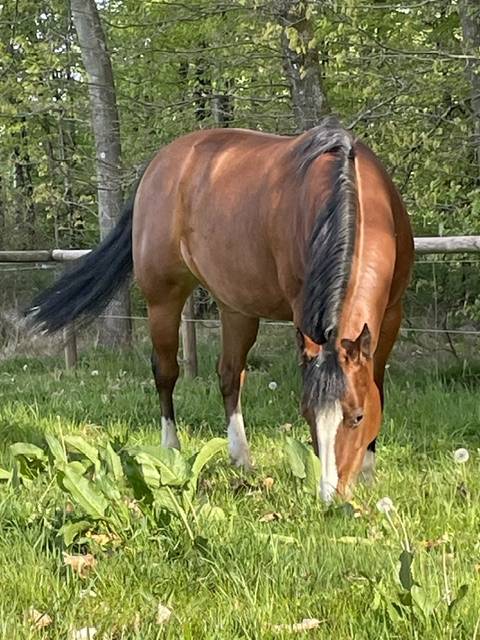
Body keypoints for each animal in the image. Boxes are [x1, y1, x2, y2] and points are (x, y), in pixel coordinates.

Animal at [26, 116, 414, 502]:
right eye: (307, 414)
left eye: (358, 416)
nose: (330, 497)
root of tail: (159, 164)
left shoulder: (390, 315)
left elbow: (377, 383)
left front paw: (369, 472)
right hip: (163, 299)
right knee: (165, 372)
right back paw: (171, 449)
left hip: (235, 306)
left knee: (229, 374)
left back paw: (240, 456)